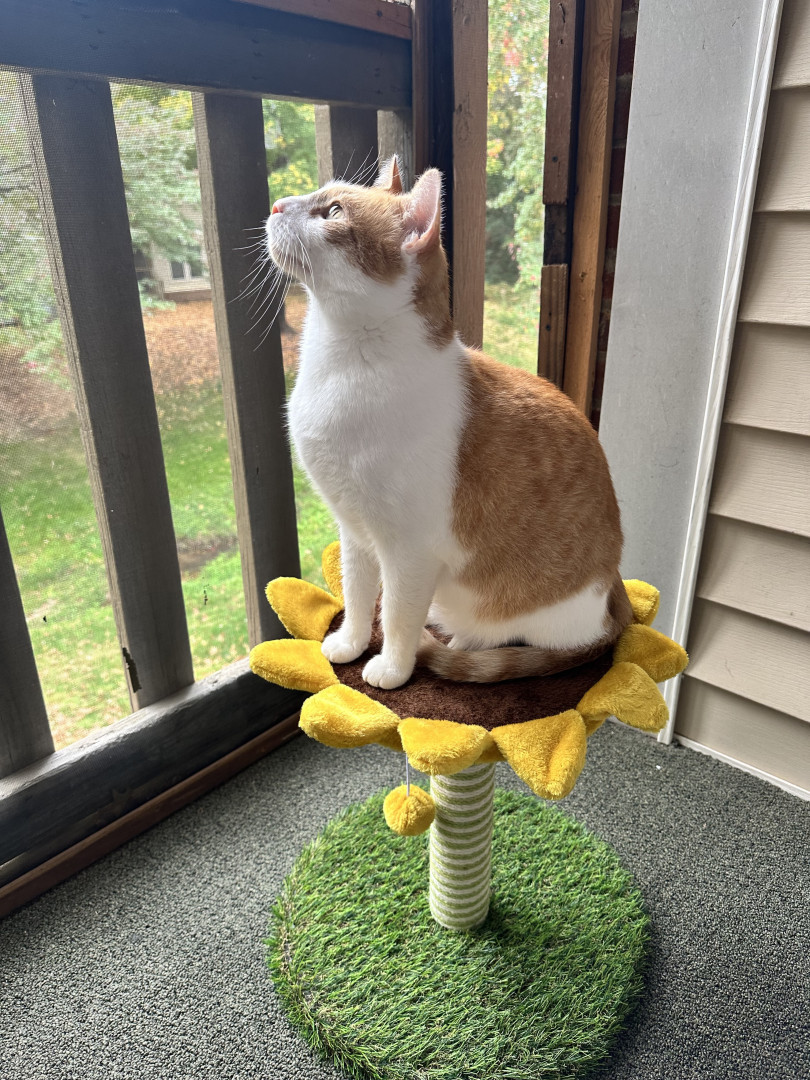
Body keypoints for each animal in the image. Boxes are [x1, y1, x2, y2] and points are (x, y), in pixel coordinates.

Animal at [265, 157, 632, 690]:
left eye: (333, 211)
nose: (275, 205)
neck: (341, 366)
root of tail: (616, 594)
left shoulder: (409, 552)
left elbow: (398, 615)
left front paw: (393, 667)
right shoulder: (354, 532)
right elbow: (357, 595)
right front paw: (351, 642)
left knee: (495, 639)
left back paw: (455, 643)